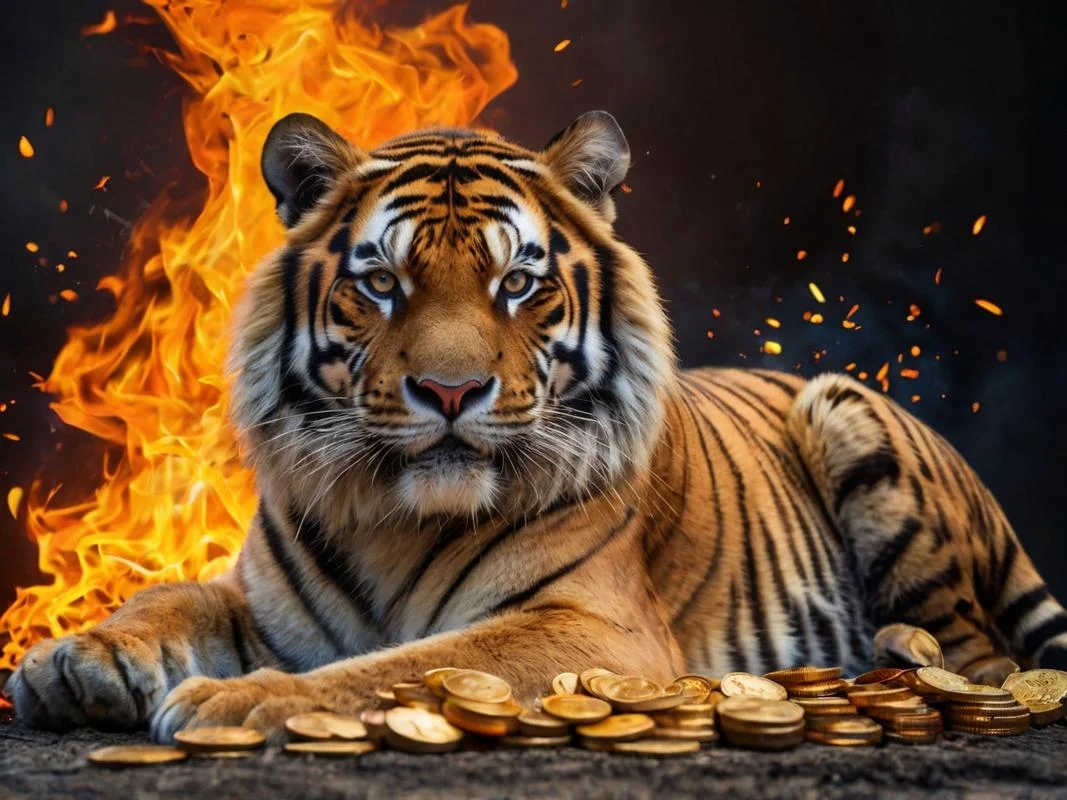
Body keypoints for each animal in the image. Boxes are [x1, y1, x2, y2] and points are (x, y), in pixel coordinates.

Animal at [8, 110, 1067, 742]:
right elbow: (171, 600)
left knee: (982, 658)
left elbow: (404, 666)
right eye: (381, 282)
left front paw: (245, 700)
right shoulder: (262, 601)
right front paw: (76, 659)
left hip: (844, 405)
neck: (393, 519)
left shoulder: (588, 626)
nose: (449, 390)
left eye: (516, 282)